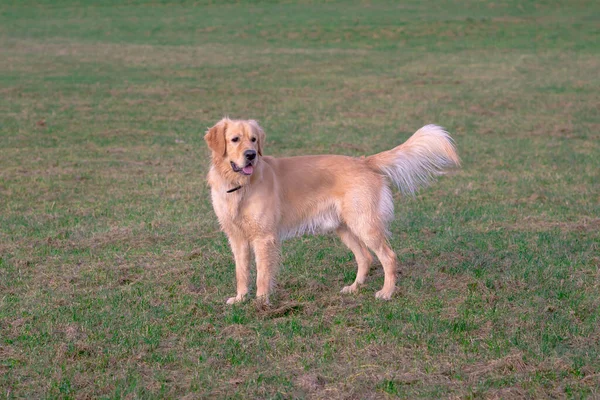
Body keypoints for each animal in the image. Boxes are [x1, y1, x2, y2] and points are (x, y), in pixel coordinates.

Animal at [205, 118, 460, 304]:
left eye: (253, 139)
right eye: (235, 139)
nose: (251, 155)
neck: (239, 186)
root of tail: (363, 161)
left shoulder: (263, 237)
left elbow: (262, 274)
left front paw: (260, 302)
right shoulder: (236, 238)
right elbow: (241, 272)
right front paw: (240, 298)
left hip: (365, 224)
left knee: (388, 257)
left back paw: (387, 292)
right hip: (345, 228)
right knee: (365, 258)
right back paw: (354, 288)